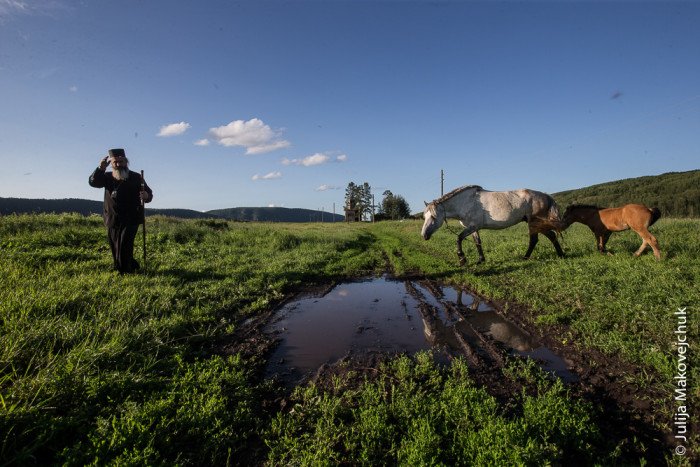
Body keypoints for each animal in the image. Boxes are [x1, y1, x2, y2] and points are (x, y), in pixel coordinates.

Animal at [422, 186, 564, 266]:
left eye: (433, 216)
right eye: (424, 216)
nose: (424, 235)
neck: (465, 202)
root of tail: (546, 196)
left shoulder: (472, 227)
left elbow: (459, 238)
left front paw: (462, 259)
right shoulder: (474, 228)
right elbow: (478, 242)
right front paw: (480, 260)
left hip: (534, 223)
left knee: (536, 239)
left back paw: (526, 257)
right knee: (550, 236)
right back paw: (560, 254)